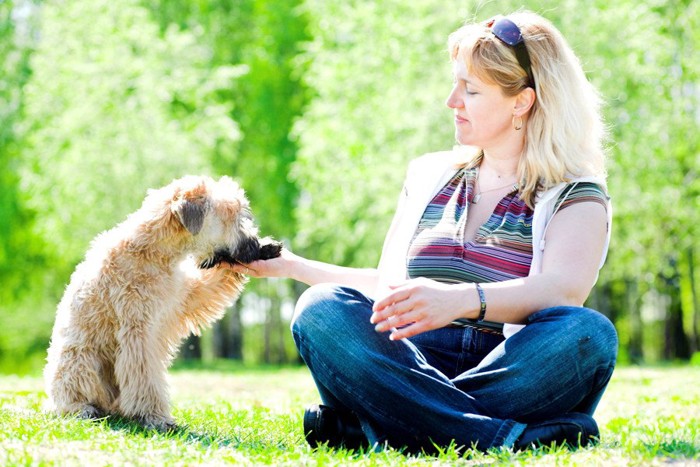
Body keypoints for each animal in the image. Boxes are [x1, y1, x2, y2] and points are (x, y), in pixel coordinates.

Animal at [43, 176, 282, 432]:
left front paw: (267, 249)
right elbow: (145, 377)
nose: (253, 243)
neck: (154, 251)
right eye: (231, 215)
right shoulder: (138, 331)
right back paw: (84, 410)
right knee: (72, 398)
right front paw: (156, 418)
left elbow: (214, 280)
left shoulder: (186, 296)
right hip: (81, 362)